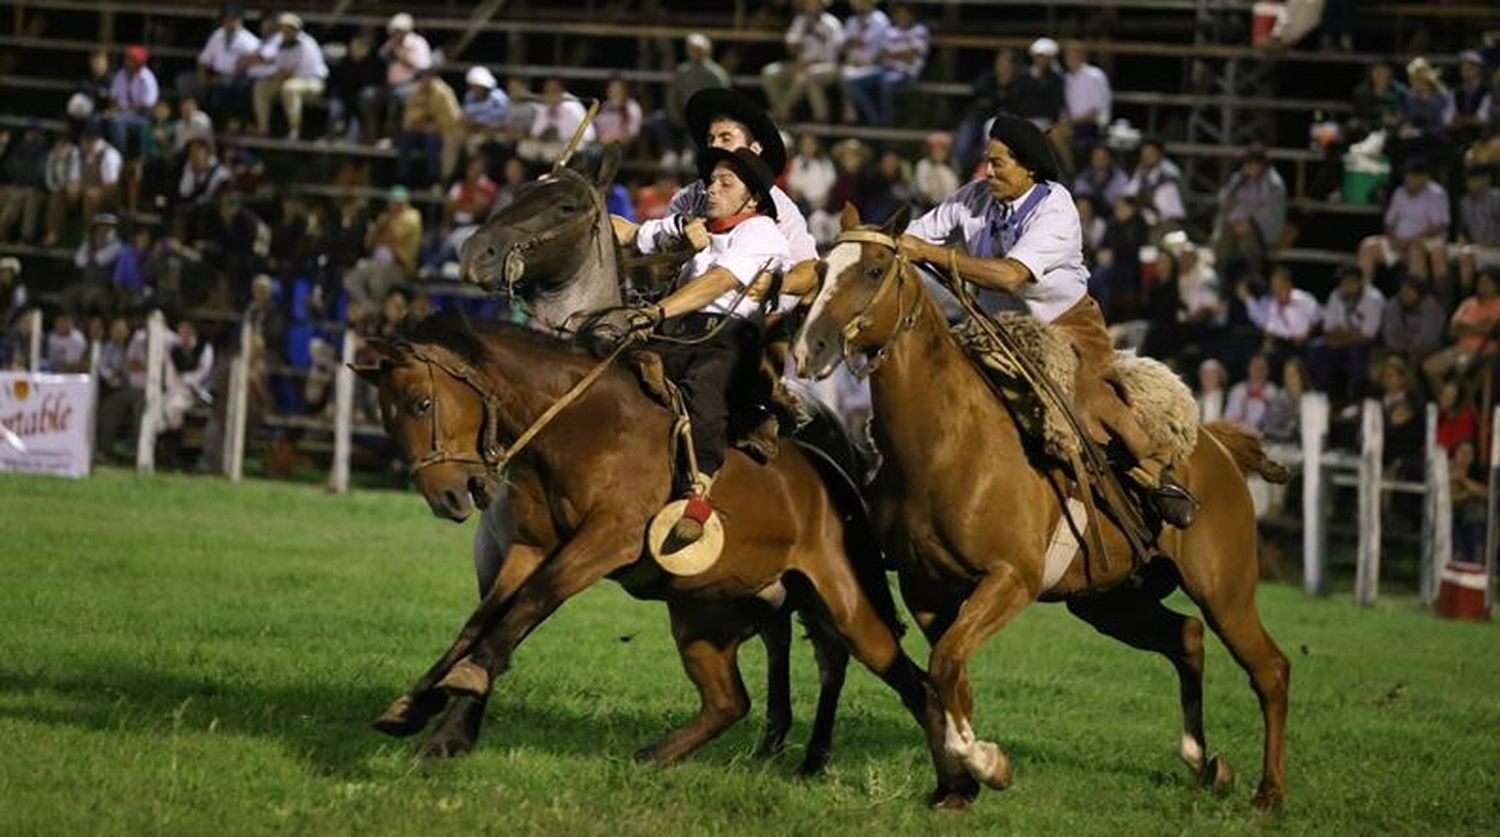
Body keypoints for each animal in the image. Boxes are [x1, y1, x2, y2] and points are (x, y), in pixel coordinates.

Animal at [355, 312, 978, 804]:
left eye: (422, 402)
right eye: (388, 416)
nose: (448, 496)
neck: (583, 425)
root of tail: (835, 475)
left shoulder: (606, 539)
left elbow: (529, 604)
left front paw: (460, 689)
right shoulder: (528, 549)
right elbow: (484, 620)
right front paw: (425, 716)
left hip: (843, 602)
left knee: (905, 680)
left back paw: (953, 786)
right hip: (703, 617)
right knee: (729, 701)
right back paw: (651, 758)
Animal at [792, 208, 1296, 816]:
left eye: (872, 269)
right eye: (822, 270)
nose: (812, 348)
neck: (949, 441)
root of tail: (1214, 442)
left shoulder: (1012, 579)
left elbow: (946, 665)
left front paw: (988, 765)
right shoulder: (926, 588)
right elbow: (948, 676)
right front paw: (958, 786)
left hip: (1224, 588)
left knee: (1268, 668)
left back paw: (1268, 792)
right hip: (1110, 599)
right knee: (1187, 637)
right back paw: (1204, 762)